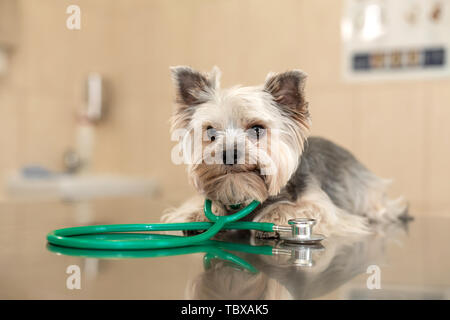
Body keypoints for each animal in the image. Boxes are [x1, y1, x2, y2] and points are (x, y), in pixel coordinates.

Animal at [163, 66, 408, 236]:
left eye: (257, 129)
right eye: (211, 132)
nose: (229, 154)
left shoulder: (325, 209)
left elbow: (303, 208)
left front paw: (274, 215)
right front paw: (195, 214)